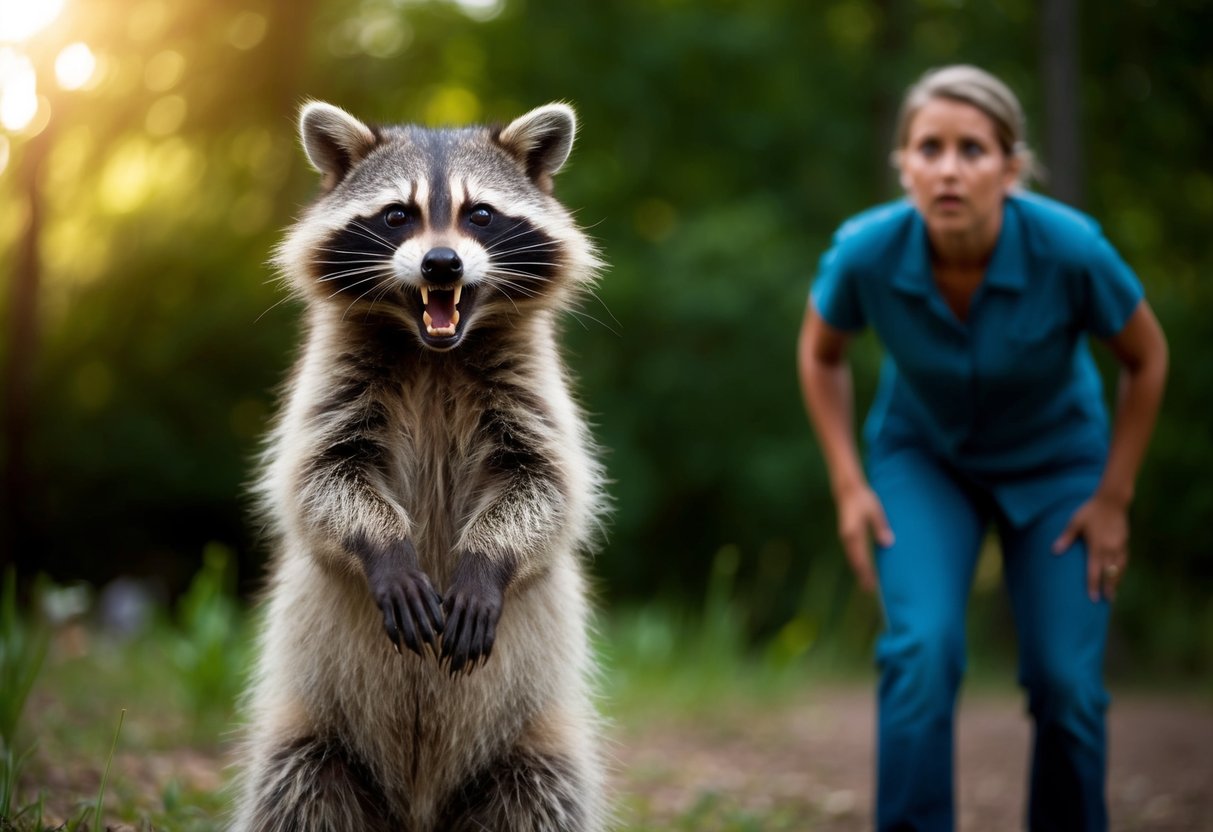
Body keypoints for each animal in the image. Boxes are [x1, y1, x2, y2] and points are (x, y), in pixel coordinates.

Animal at [233, 101, 608, 832]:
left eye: (480, 214)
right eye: (397, 215)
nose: (441, 264)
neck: (435, 351)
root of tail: (419, 811)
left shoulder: (532, 392)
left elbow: (548, 486)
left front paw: (488, 558)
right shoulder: (333, 386)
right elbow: (319, 478)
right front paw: (385, 545)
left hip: (532, 752)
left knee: (544, 796)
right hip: (313, 743)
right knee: (295, 790)